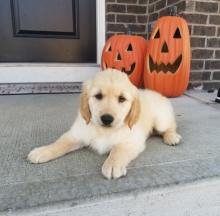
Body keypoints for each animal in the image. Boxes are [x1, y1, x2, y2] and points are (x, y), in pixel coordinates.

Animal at [27, 69, 180, 179]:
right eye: (98, 96)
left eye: (122, 99)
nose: (107, 119)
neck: (104, 130)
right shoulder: (76, 134)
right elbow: (60, 143)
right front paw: (42, 151)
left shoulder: (131, 141)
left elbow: (117, 150)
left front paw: (112, 164)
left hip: (161, 120)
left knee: (170, 125)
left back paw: (172, 137)